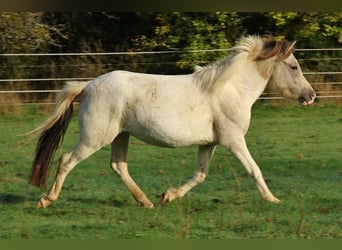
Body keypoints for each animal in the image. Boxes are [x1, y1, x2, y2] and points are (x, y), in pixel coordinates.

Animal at [28, 34, 316, 208]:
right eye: (293, 66)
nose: (311, 96)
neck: (230, 90)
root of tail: (87, 86)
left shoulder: (209, 143)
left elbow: (200, 175)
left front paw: (168, 195)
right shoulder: (233, 140)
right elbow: (253, 169)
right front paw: (273, 199)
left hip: (120, 135)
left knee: (118, 166)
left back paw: (146, 201)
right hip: (95, 137)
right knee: (67, 160)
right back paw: (47, 199)